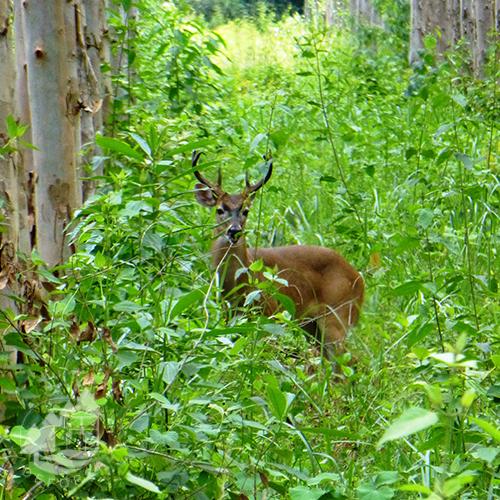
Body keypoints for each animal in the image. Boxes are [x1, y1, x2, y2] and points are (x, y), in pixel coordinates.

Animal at [193, 150, 366, 358]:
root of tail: (359, 277)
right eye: (220, 210)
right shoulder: (229, 317)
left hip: (339, 315)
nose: (234, 231)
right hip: (311, 326)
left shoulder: (270, 313)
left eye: (246, 211)